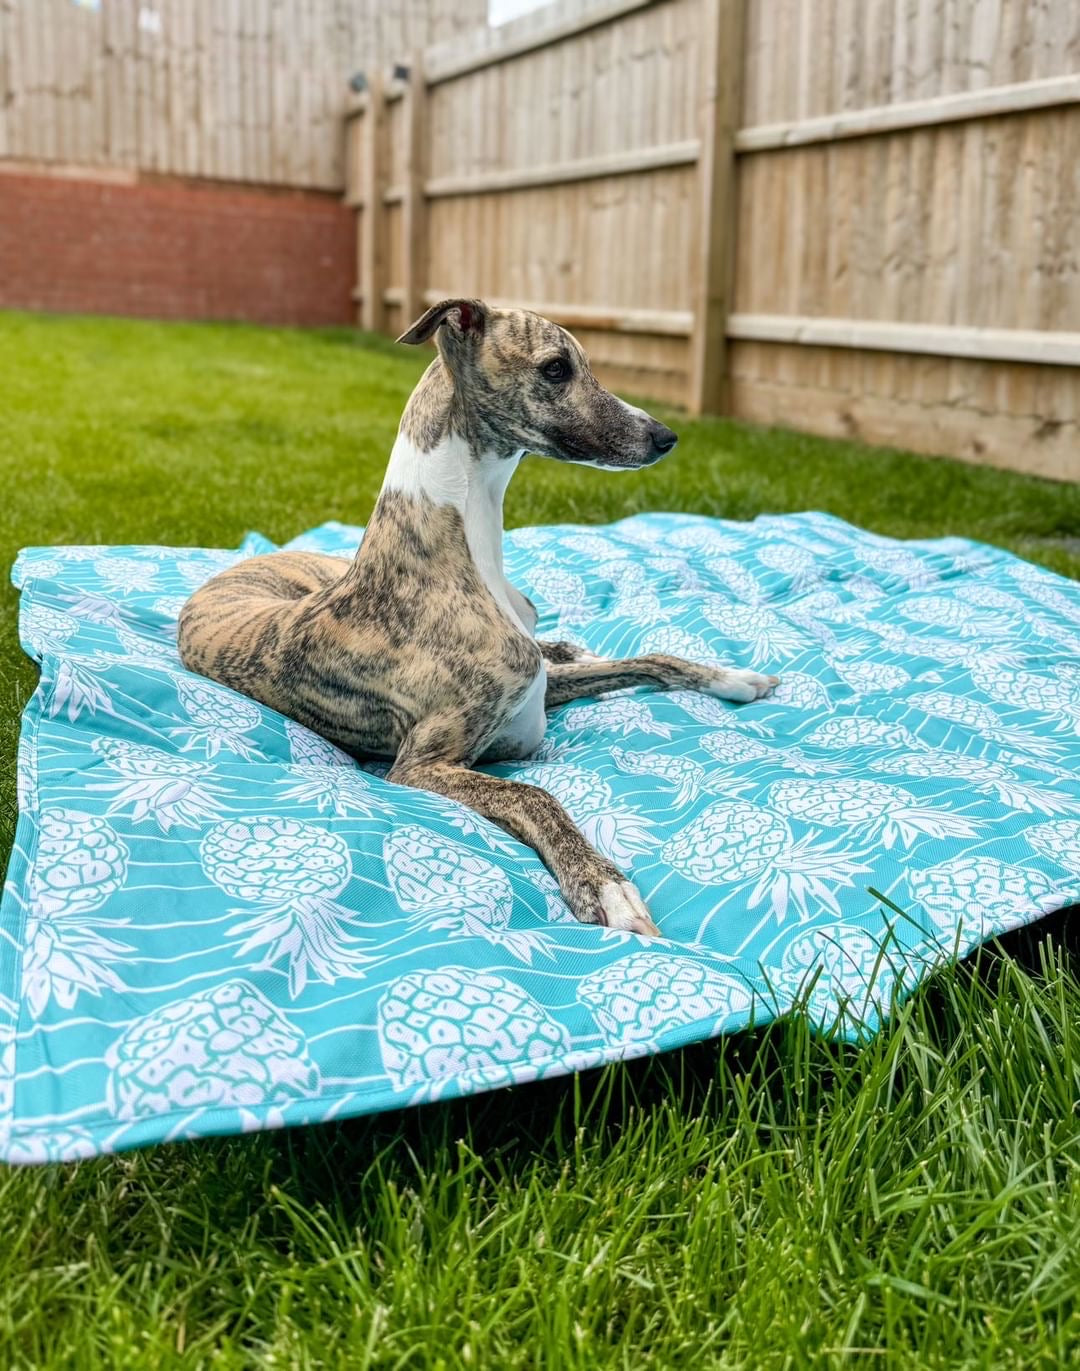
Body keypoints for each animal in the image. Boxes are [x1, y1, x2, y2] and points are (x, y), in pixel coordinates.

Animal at [180, 300, 778, 937]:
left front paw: (735, 678)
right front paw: (605, 886)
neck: (465, 547)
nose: (666, 438)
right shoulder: (420, 766)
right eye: (556, 368)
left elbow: (653, 657)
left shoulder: (538, 689)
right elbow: (534, 797)